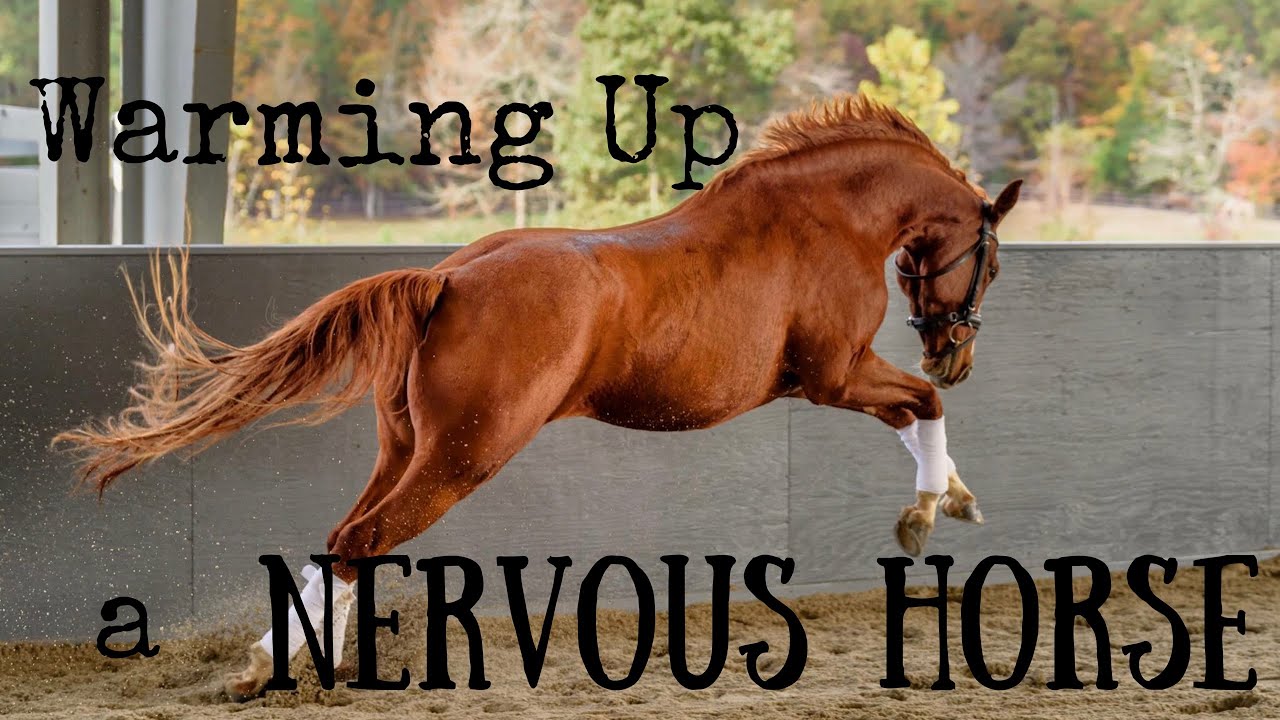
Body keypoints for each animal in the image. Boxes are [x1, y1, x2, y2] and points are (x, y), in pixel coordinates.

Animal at [54, 94, 1021, 699]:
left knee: (343, 540)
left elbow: (915, 415)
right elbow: (923, 411)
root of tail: (446, 278)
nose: (957, 354)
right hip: (464, 456)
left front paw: (953, 497)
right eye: (994, 260)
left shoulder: (843, 377)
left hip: (407, 449)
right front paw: (927, 510)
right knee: (362, 542)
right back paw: (281, 672)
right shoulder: (832, 374)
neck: (822, 219)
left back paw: (273, 663)